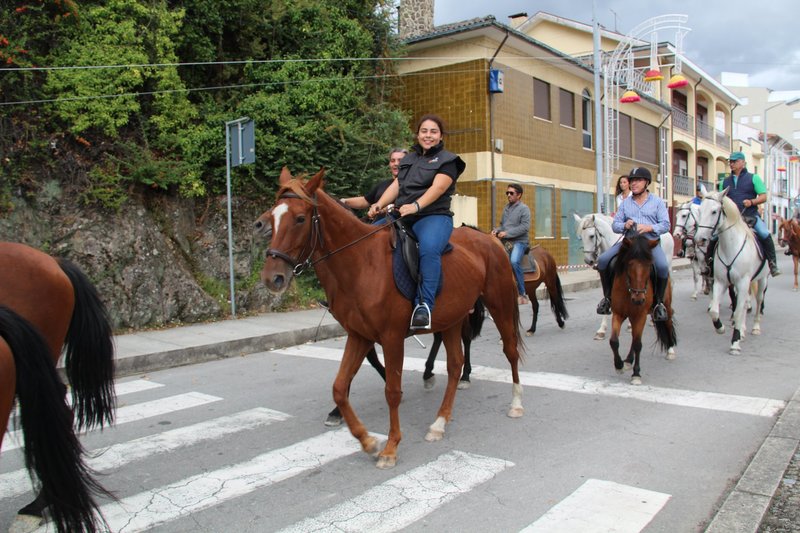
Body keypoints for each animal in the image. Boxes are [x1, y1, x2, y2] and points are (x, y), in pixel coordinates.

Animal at [256, 168, 524, 468]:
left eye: (300, 218)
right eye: (273, 216)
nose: (273, 277)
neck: (361, 264)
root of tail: (490, 239)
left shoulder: (392, 338)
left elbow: (392, 391)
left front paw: (390, 447)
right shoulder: (359, 335)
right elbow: (339, 387)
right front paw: (367, 440)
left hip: (500, 304)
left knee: (510, 351)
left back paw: (515, 404)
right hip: (452, 318)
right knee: (455, 365)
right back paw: (440, 422)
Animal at [608, 232, 680, 382]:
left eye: (648, 265)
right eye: (630, 264)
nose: (639, 299)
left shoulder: (640, 315)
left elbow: (638, 344)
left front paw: (636, 374)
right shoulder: (618, 313)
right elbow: (614, 341)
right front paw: (619, 365)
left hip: (666, 305)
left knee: (668, 322)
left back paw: (670, 350)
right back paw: (628, 360)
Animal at [692, 187, 768, 354]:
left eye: (714, 211)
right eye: (700, 210)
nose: (699, 239)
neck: (731, 246)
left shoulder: (743, 282)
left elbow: (738, 311)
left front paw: (735, 342)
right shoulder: (721, 282)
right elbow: (714, 310)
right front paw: (720, 328)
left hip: (762, 280)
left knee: (758, 300)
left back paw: (755, 327)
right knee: (745, 303)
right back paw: (743, 330)